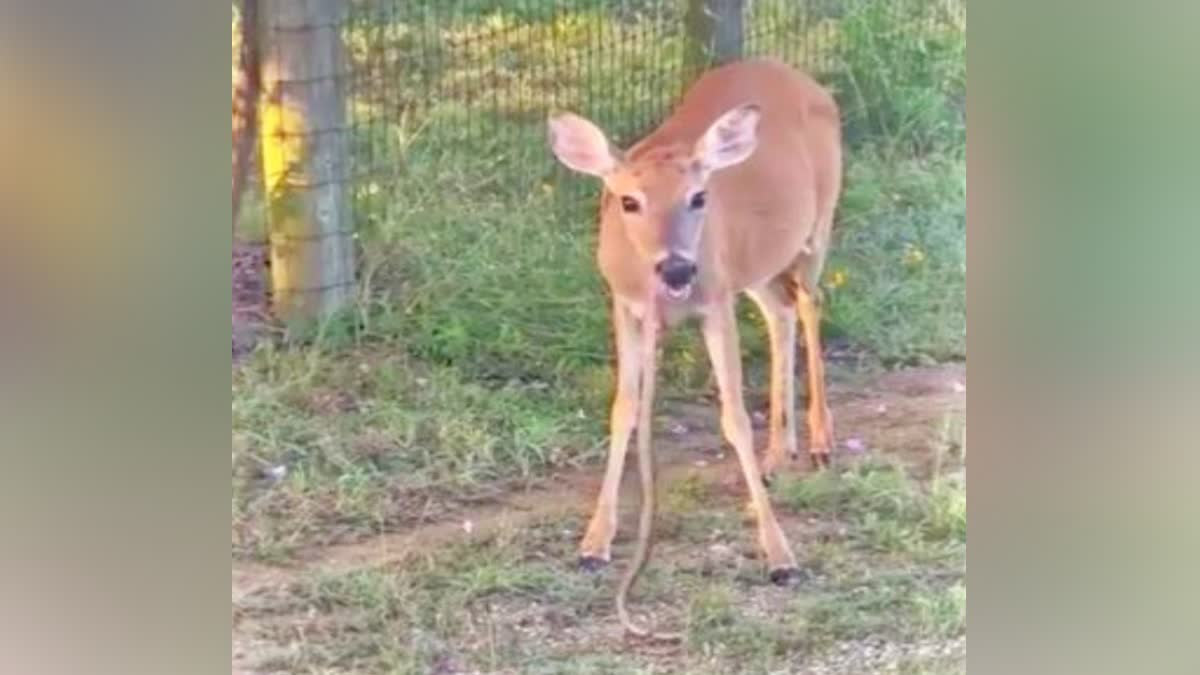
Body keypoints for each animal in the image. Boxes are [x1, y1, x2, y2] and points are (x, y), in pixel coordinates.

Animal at [549, 57, 840, 634]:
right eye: (628, 200)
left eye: (698, 197)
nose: (679, 268)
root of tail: (799, 75)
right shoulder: (626, 306)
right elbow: (624, 409)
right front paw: (594, 543)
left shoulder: (715, 301)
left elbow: (734, 417)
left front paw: (781, 558)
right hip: (756, 265)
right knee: (781, 311)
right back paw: (780, 453)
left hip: (816, 226)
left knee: (811, 303)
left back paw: (819, 441)